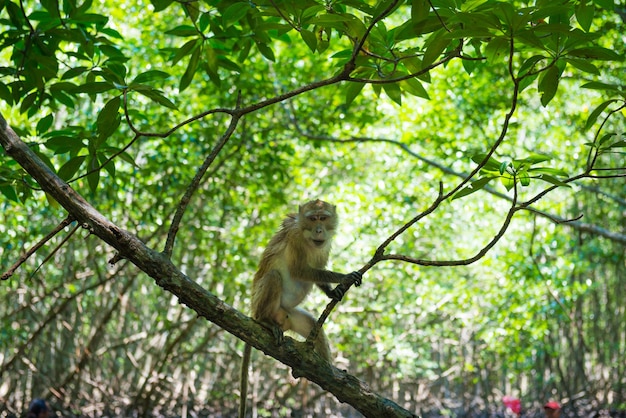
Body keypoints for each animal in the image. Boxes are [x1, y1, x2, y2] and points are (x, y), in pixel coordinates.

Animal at [241, 199, 364, 418]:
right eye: (312, 218)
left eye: (322, 218)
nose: (319, 230)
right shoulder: (296, 238)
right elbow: (300, 270)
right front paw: (344, 277)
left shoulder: (326, 244)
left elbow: (318, 269)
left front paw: (332, 292)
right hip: (260, 304)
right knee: (274, 276)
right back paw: (264, 321)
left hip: (289, 316)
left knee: (312, 325)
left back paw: (330, 373)